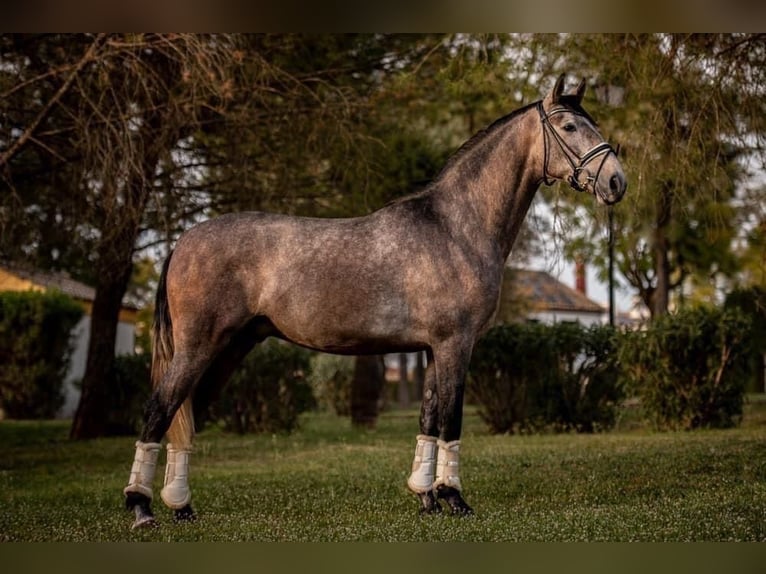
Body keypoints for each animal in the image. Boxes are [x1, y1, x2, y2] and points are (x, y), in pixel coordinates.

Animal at [124, 74, 632, 528]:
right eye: (569, 126)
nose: (616, 182)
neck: (455, 227)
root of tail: (182, 241)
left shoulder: (432, 349)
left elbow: (428, 417)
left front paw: (426, 498)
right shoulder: (455, 344)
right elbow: (451, 419)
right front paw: (455, 499)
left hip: (232, 346)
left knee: (186, 413)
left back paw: (181, 506)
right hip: (200, 345)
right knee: (158, 410)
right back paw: (141, 508)